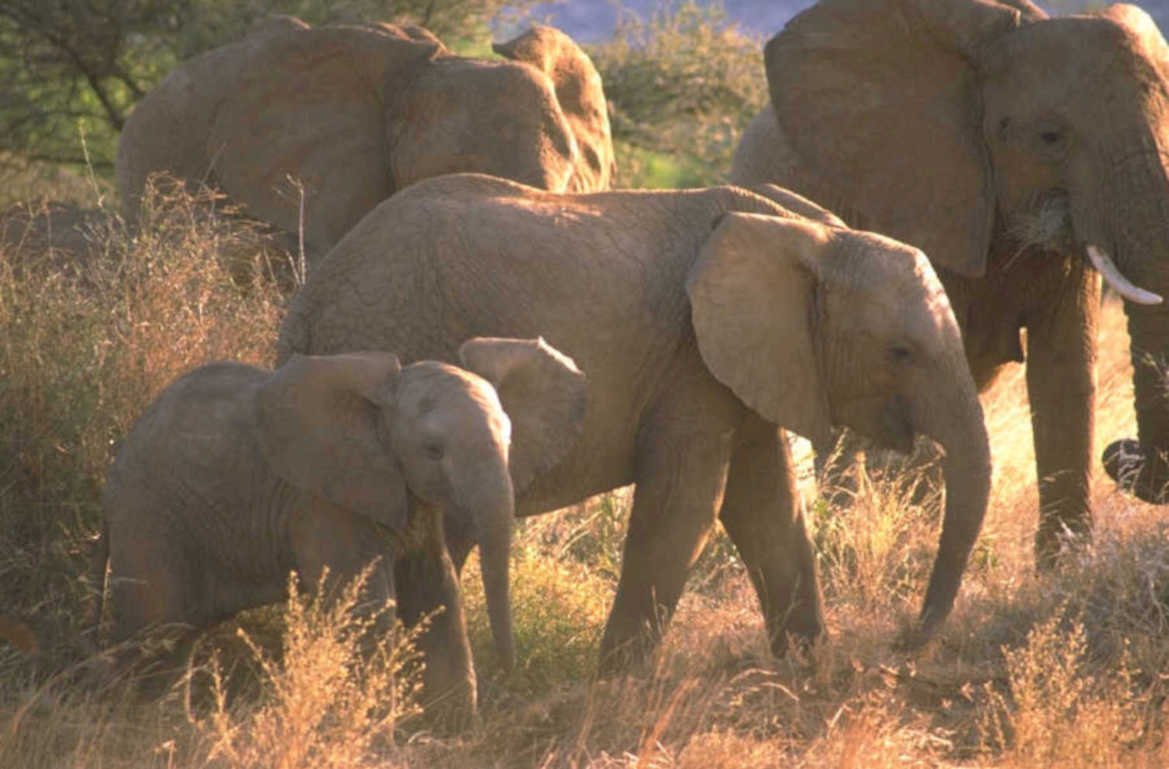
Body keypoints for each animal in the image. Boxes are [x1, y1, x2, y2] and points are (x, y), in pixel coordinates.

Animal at [88, 340, 587, 720]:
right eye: (432, 450)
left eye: (510, 441)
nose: (511, 673)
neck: (378, 410)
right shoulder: (324, 503)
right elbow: (368, 608)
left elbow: (437, 595)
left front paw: (452, 733)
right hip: (150, 514)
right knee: (155, 630)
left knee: (175, 641)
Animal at [276, 173, 992, 670]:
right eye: (901, 353)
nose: (905, 641)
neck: (808, 234)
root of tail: (308, 302)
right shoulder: (690, 359)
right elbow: (689, 510)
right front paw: (613, 690)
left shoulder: (745, 364)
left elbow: (769, 510)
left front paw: (811, 675)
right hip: (396, 342)